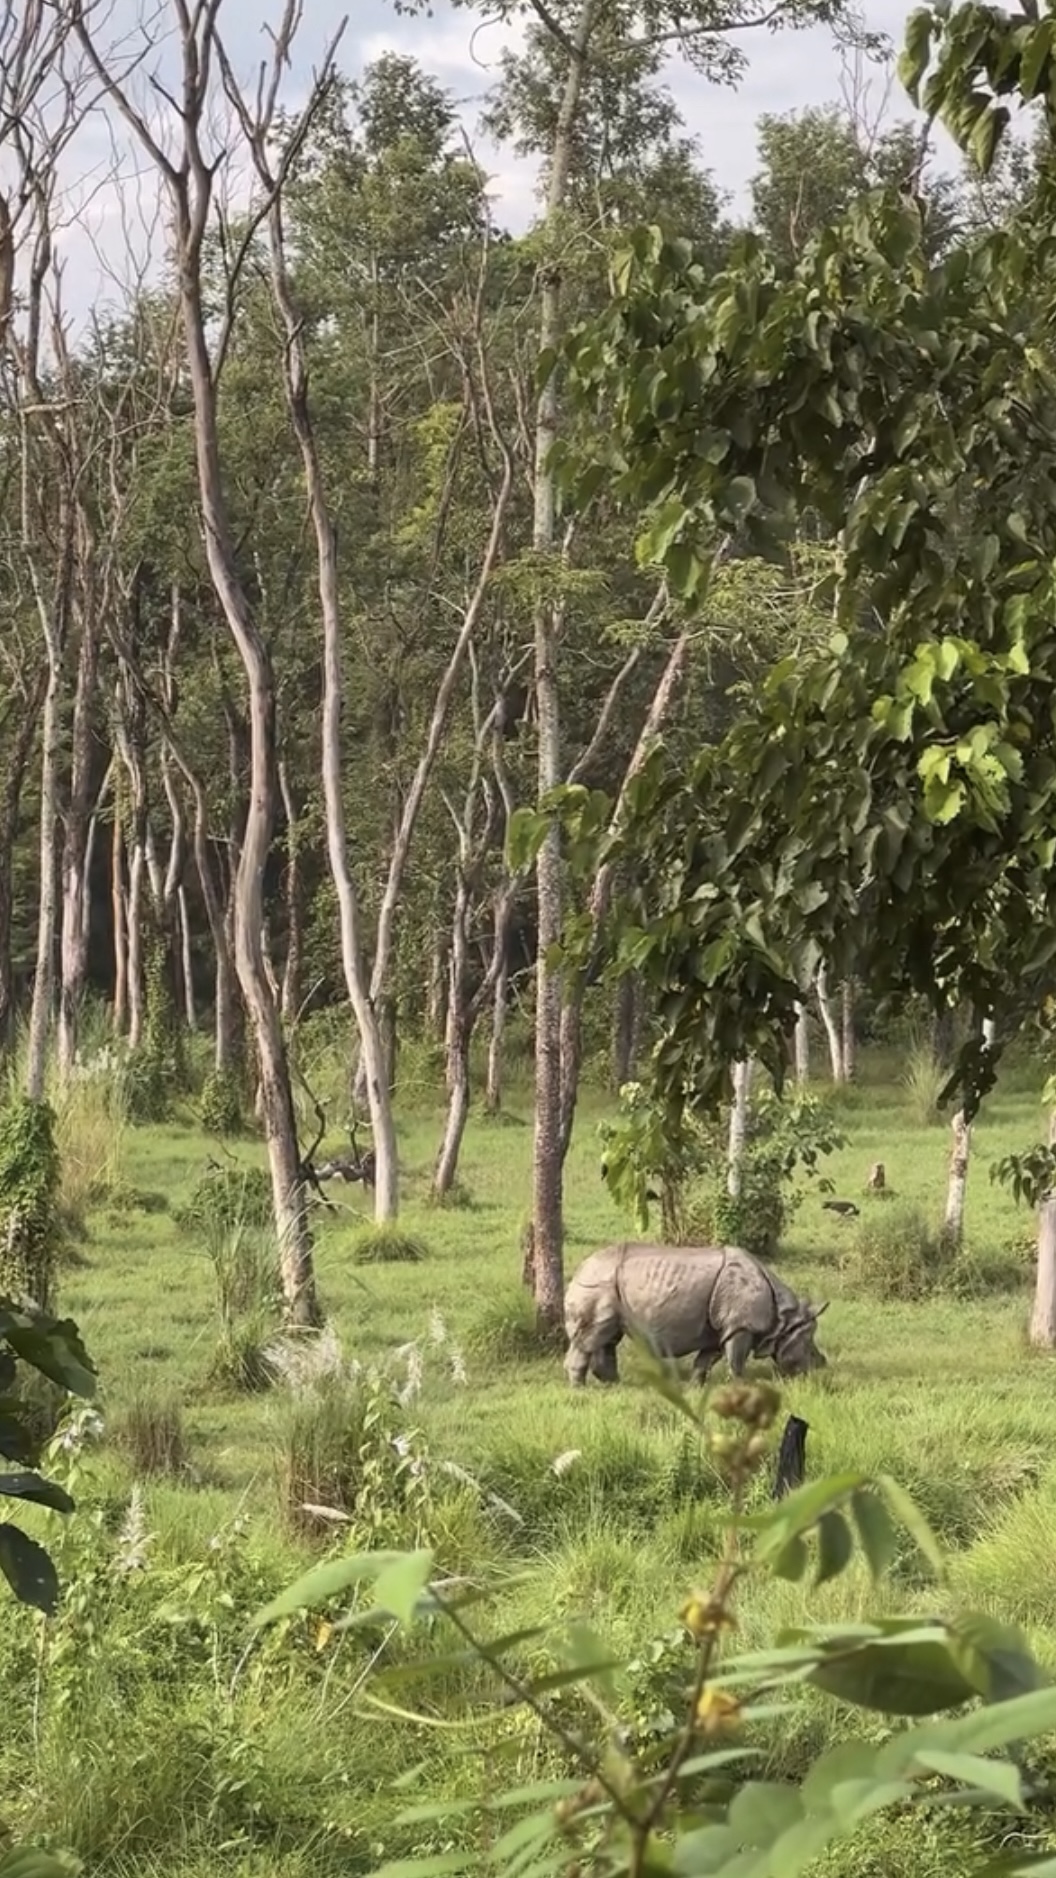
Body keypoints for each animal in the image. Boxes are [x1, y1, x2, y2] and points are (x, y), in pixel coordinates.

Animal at [563, 1241, 829, 1387]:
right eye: (808, 1346)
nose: (821, 1367)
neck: (783, 1320)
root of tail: (580, 1269)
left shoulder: (720, 1329)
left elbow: (707, 1360)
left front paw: (696, 1386)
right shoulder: (740, 1326)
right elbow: (737, 1359)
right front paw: (742, 1385)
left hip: (608, 1283)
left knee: (608, 1336)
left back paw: (613, 1384)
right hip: (598, 1283)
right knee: (592, 1336)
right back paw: (580, 1387)